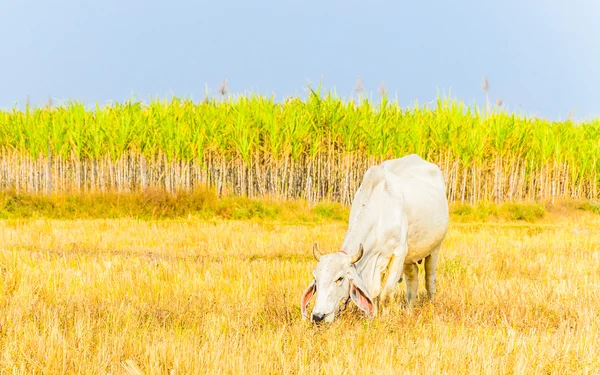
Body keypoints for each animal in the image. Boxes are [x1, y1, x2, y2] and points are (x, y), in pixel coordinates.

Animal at [302, 155, 448, 324]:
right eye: (315, 278)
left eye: (340, 278)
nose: (318, 316)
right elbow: (377, 295)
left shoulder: (399, 253)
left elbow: (386, 294)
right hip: (410, 257)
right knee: (413, 279)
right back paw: (410, 310)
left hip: (435, 248)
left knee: (429, 279)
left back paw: (430, 305)